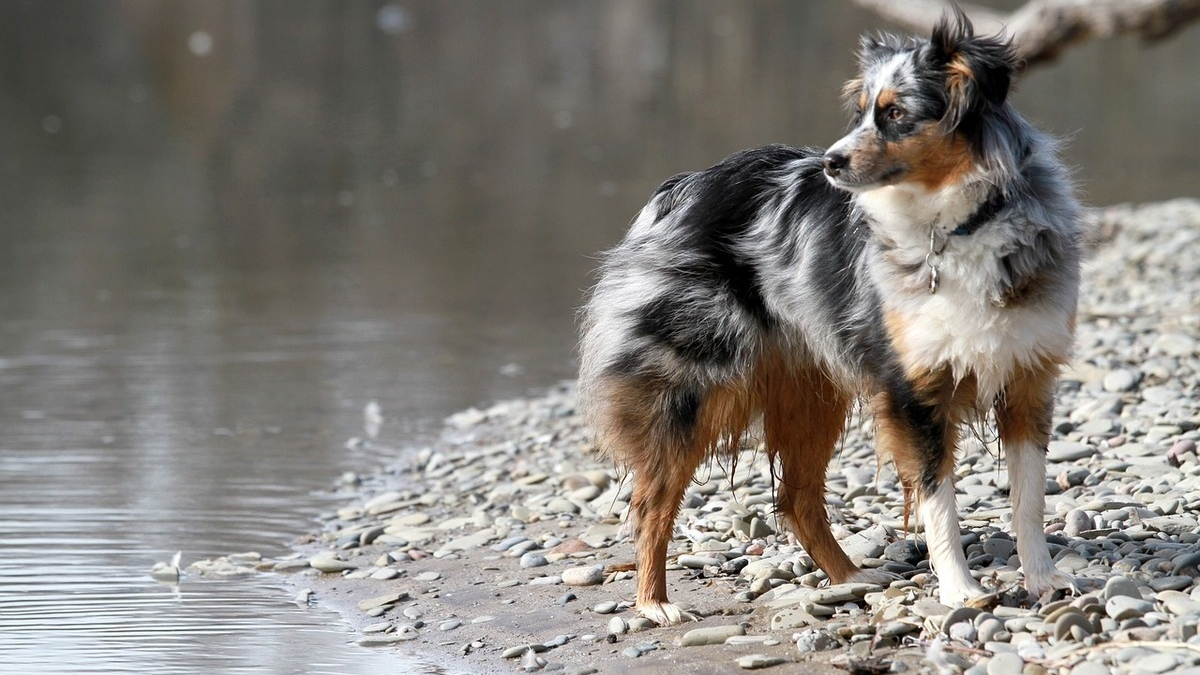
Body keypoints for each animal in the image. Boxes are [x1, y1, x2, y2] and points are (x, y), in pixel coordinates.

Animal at [576, 7, 1084, 624]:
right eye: (861, 110)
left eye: (895, 113)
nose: (829, 162)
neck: (959, 225)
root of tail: (678, 189)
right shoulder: (915, 391)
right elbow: (938, 502)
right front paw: (961, 592)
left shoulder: (1028, 376)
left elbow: (1029, 498)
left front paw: (1044, 581)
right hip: (690, 389)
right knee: (653, 501)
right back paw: (655, 603)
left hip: (811, 391)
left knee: (795, 498)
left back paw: (853, 579)